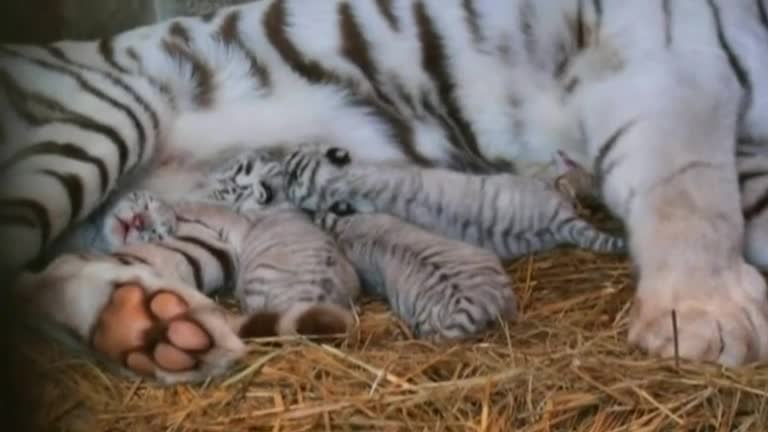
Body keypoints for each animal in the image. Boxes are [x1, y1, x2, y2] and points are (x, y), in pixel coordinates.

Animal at [1, 0, 768, 382]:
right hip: (99, 121)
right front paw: (705, 318)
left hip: (200, 230)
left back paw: (151, 328)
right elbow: (689, 190)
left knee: (61, 274)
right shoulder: (659, 61)